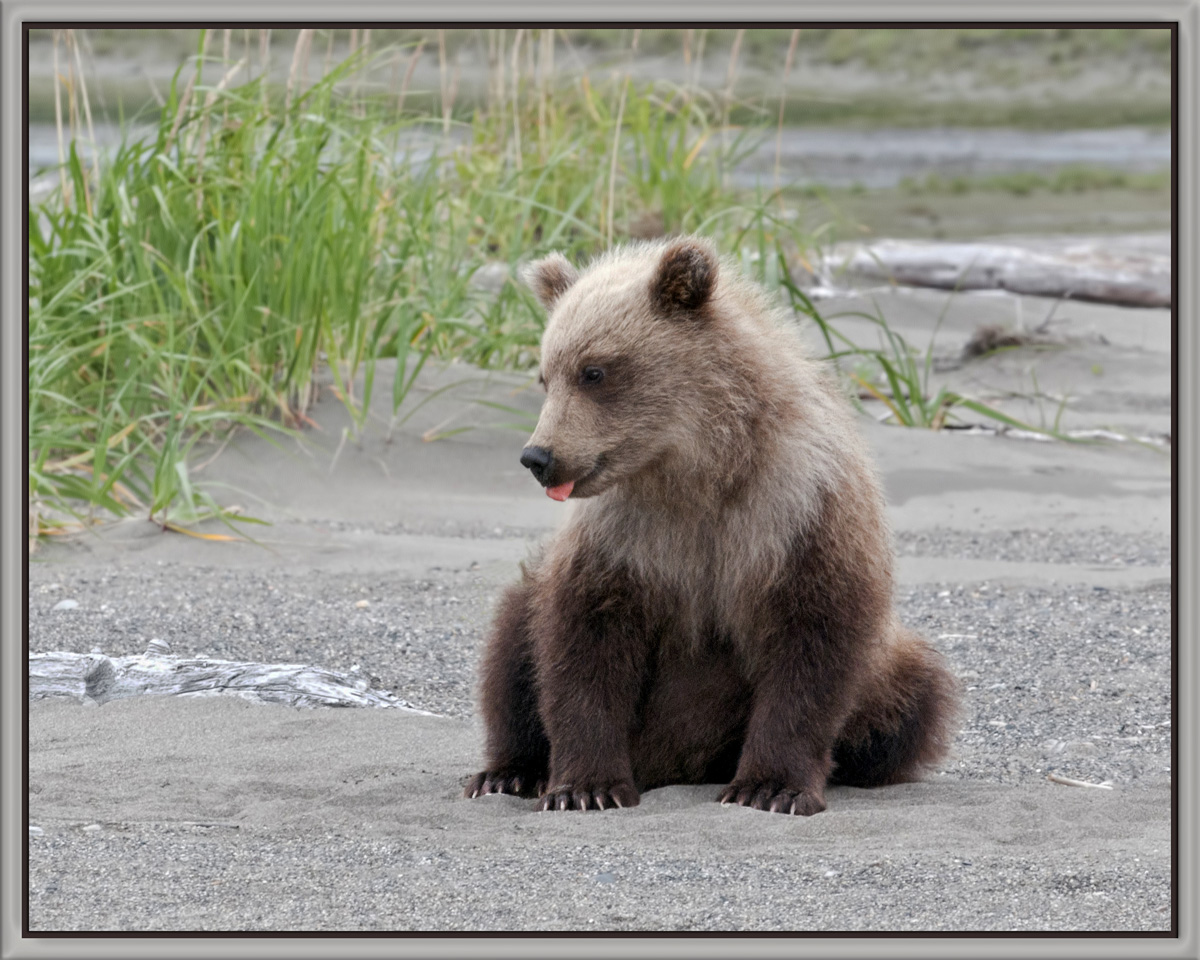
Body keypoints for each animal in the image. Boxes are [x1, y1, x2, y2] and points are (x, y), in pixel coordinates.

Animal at [463, 236, 959, 815]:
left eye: (594, 371)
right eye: (545, 376)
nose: (538, 456)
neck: (699, 469)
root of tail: (672, 766)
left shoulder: (797, 513)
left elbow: (812, 646)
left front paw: (770, 787)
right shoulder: (626, 537)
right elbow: (582, 642)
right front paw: (585, 787)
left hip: (886, 671)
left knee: (914, 696)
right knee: (514, 640)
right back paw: (508, 773)